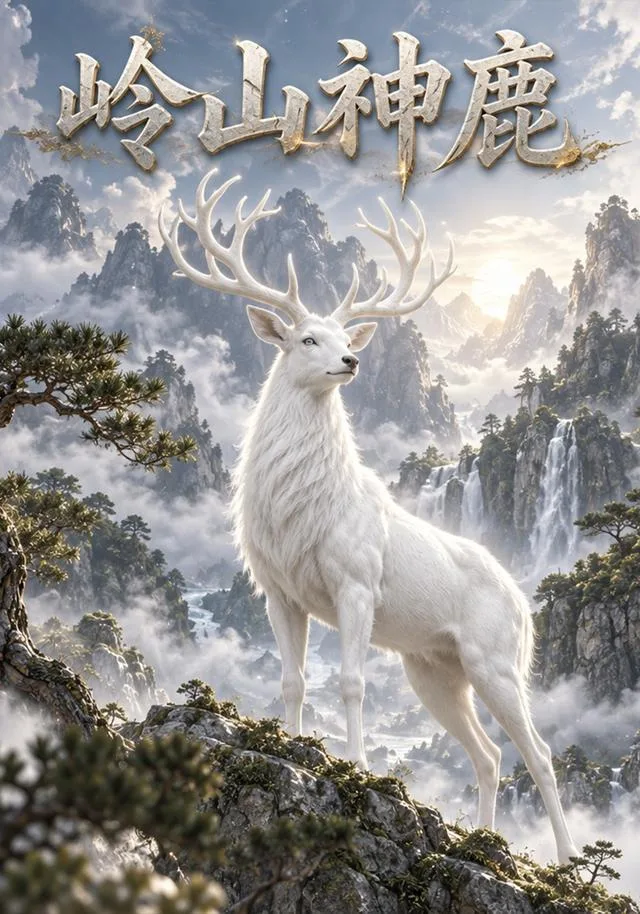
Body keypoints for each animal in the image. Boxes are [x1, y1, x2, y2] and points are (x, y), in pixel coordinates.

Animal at [159, 168, 578, 864]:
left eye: (341, 339)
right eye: (307, 338)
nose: (351, 361)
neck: (299, 511)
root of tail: (526, 607)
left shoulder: (355, 580)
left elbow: (352, 681)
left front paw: (353, 765)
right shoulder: (278, 589)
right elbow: (293, 680)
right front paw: (292, 743)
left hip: (495, 658)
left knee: (540, 753)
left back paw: (569, 862)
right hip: (433, 668)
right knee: (489, 755)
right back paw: (486, 836)